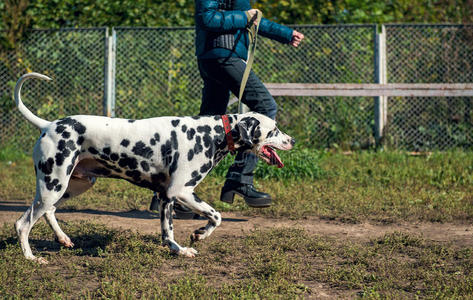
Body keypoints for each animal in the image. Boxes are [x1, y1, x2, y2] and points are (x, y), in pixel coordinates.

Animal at [12, 72, 294, 262]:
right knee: (22, 224)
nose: (292, 140)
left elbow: (168, 232)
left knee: (49, 212)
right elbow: (216, 215)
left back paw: (63, 239)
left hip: (71, 186)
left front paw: (180, 248)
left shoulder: (166, 197)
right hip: (53, 186)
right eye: (274, 130)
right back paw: (31, 258)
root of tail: (49, 125)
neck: (211, 133)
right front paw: (199, 235)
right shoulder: (181, 192)